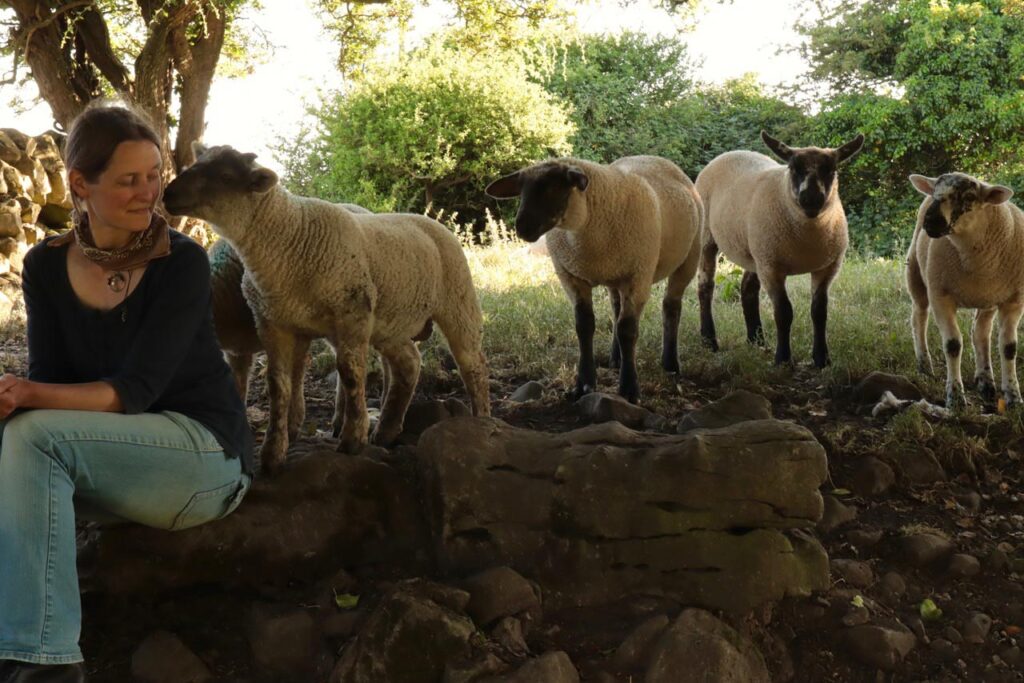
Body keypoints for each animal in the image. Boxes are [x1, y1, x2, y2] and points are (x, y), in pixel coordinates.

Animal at [164, 143, 490, 472]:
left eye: (226, 176)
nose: (168, 194)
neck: (288, 237)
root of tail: (428, 220)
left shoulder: (352, 312)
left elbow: (350, 373)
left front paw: (352, 439)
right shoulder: (273, 322)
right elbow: (278, 385)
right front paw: (272, 452)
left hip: (458, 300)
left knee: (473, 365)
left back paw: (482, 421)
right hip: (391, 322)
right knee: (409, 362)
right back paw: (386, 430)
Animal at [485, 155, 703, 403]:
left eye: (555, 187)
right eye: (521, 191)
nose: (523, 228)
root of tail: (655, 158)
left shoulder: (638, 276)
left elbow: (628, 330)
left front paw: (629, 389)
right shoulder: (570, 276)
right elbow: (584, 326)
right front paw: (584, 384)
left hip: (689, 258)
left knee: (670, 307)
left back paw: (671, 365)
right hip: (615, 275)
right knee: (616, 309)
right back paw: (616, 359)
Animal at [695, 131, 864, 367]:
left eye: (831, 170)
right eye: (793, 168)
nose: (811, 199)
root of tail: (730, 153)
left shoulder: (827, 268)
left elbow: (819, 311)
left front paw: (822, 358)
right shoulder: (772, 268)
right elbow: (784, 312)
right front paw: (783, 359)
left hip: (756, 251)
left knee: (747, 288)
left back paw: (756, 340)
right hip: (708, 238)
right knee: (705, 287)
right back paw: (709, 340)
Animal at [906, 172, 1023, 408]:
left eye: (970, 197)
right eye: (935, 192)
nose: (930, 221)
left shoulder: (1014, 300)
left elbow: (1009, 347)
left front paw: (1014, 397)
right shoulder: (940, 296)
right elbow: (953, 345)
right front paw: (955, 397)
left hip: (989, 299)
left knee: (980, 332)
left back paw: (986, 382)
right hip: (915, 273)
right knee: (919, 317)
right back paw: (924, 365)